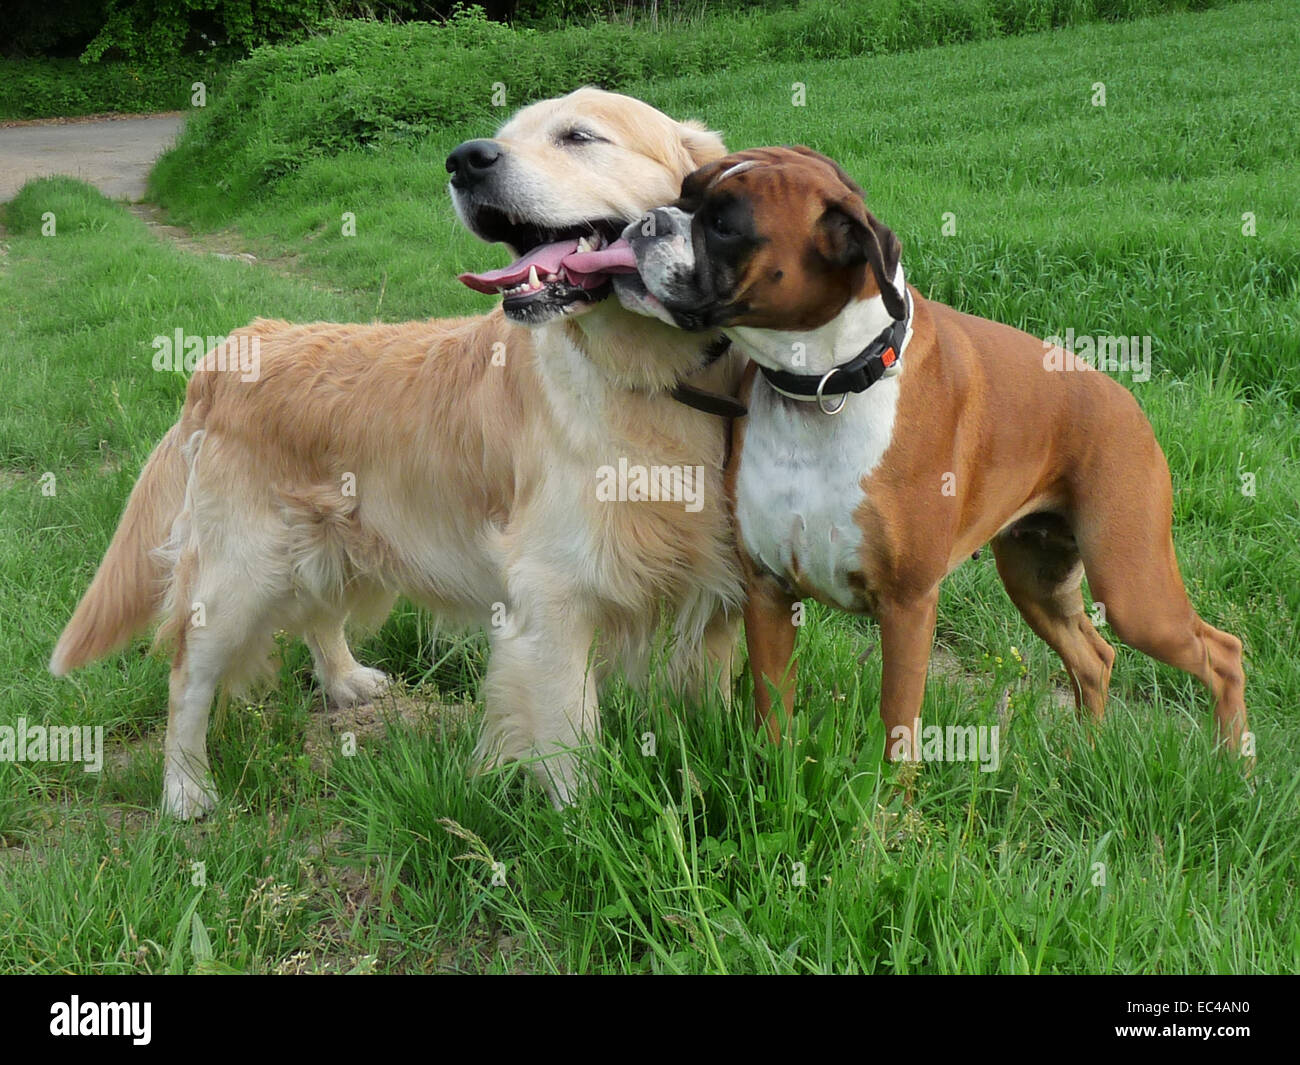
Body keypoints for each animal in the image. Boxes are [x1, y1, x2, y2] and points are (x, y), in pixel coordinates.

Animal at [608, 147, 1248, 759]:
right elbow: (775, 721)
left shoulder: (907, 607)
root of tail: (1125, 397)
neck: (825, 387)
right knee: (1095, 658)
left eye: (724, 226)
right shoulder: (768, 594)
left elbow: (898, 732)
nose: (647, 220)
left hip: (1133, 592)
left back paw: (1234, 767)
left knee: (1222, 651)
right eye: (683, 193)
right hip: (1037, 579)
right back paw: (1086, 756)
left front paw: (887, 801)